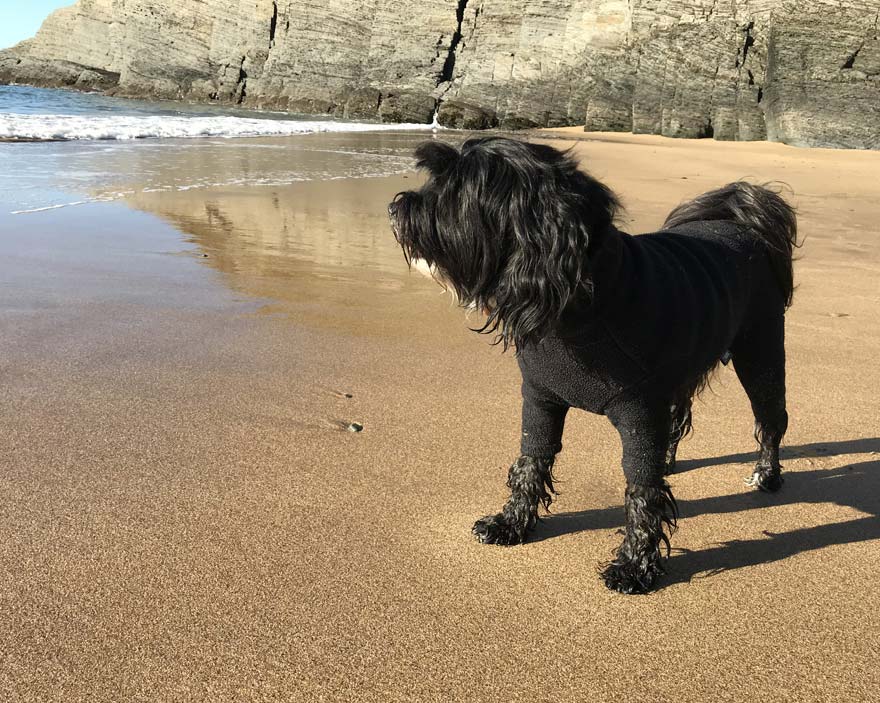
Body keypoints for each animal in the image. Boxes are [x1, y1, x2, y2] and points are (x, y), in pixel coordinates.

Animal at [386, 138, 796, 592]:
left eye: (455, 190)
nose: (394, 208)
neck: (575, 302)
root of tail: (745, 222)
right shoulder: (540, 398)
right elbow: (531, 459)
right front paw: (511, 523)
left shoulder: (639, 411)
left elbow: (641, 491)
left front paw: (635, 565)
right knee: (678, 418)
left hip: (760, 351)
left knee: (770, 419)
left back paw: (767, 475)